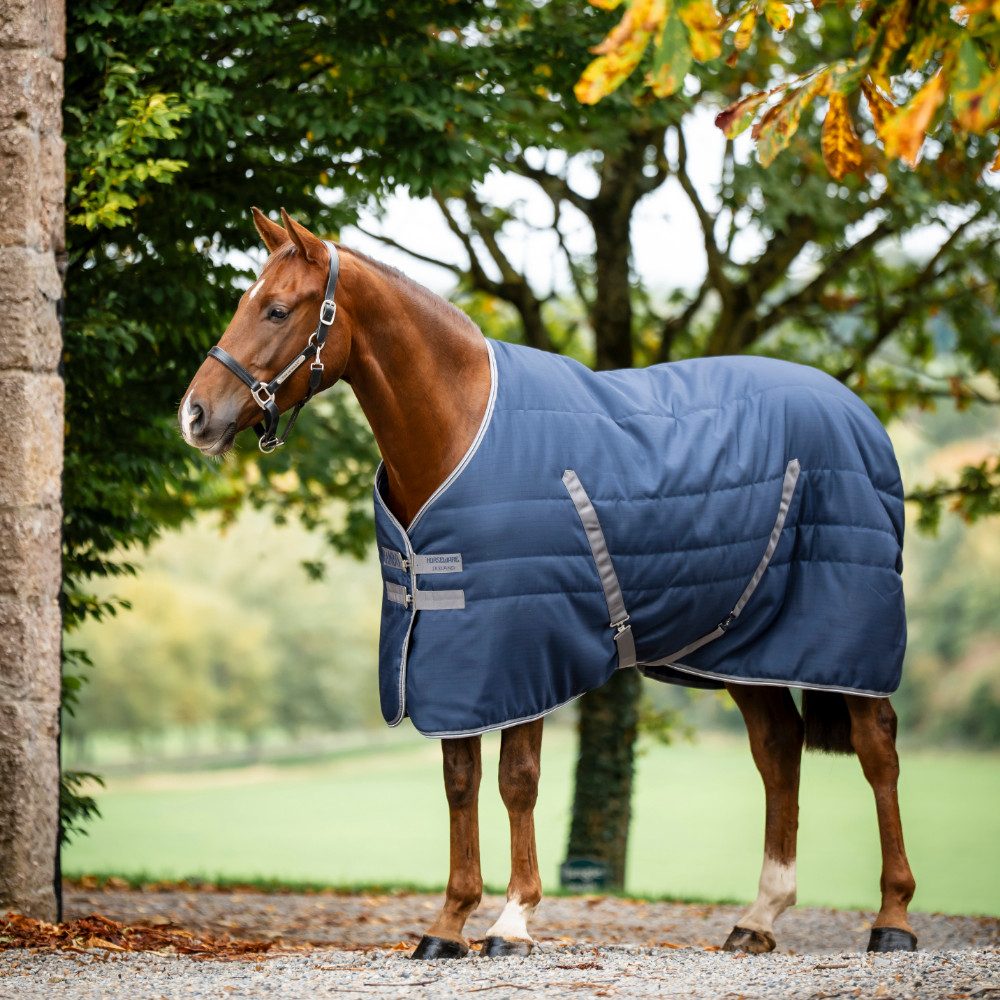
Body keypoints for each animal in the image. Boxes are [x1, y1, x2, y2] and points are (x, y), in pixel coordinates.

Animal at [178, 208, 917, 959]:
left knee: (877, 748)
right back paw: (760, 917)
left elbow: (517, 781)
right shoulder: (454, 650)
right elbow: (460, 781)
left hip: (845, 635)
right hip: (743, 646)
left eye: (276, 309)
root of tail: (857, 413)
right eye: (243, 302)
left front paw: (512, 920)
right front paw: (448, 924)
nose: (195, 415)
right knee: (778, 750)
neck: (459, 426)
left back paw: (892, 918)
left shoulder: (521, 648)